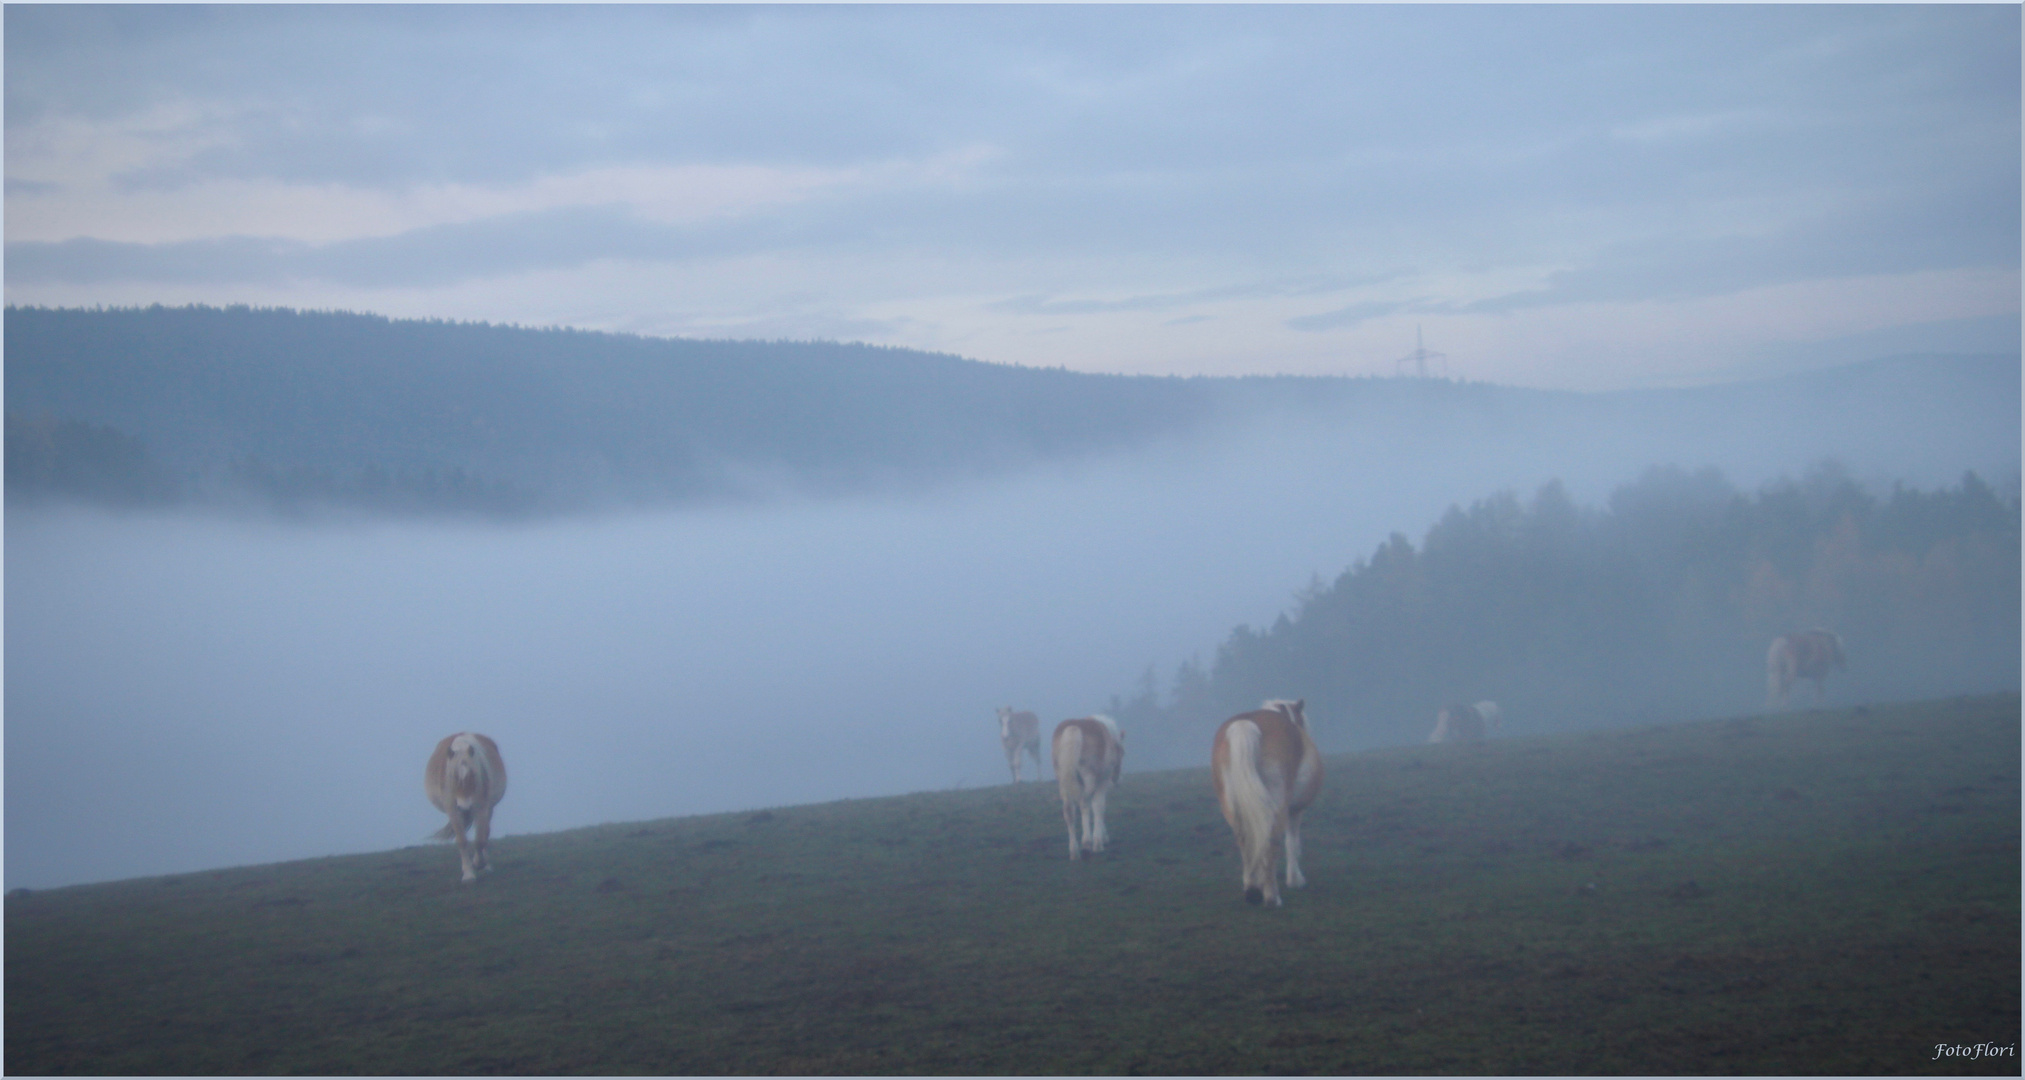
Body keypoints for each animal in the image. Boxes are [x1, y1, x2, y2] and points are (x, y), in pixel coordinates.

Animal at [423, 729, 506, 879]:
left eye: (473, 775)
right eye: (454, 777)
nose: (465, 807)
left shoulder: (481, 807)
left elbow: (480, 839)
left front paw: (479, 864)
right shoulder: (453, 810)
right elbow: (461, 840)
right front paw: (468, 874)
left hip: (488, 809)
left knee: (485, 833)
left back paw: (485, 864)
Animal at [1053, 717, 1134, 859]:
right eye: (1122, 752)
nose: (1118, 780)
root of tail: (1073, 727)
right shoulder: (1102, 781)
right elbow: (1098, 806)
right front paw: (1099, 841)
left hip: (1062, 780)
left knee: (1069, 810)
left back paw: (1074, 851)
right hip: (1088, 777)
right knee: (1084, 803)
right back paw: (1087, 843)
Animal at [1206, 692, 1320, 903]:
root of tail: (1246, 724)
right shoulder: (1294, 810)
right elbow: (1292, 843)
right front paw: (1295, 880)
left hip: (1232, 805)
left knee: (1245, 839)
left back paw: (1252, 889)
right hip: (1276, 804)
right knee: (1271, 840)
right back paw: (1271, 896)